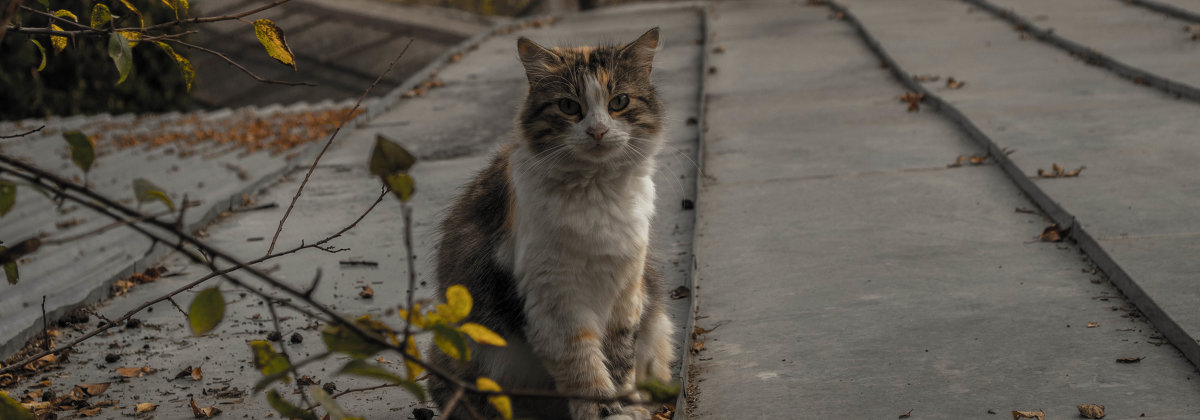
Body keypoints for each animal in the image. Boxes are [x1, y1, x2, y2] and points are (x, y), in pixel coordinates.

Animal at [427, 27, 676, 420]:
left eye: (619, 102)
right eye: (569, 106)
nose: (598, 131)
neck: (597, 193)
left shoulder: (626, 292)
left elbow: (620, 362)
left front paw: (629, 406)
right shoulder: (557, 303)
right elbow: (587, 372)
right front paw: (607, 412)